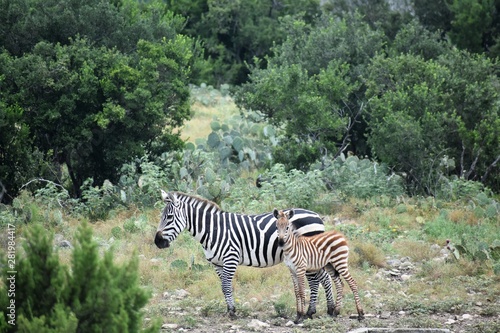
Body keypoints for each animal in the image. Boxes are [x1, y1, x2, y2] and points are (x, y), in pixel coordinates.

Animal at [155, 191, 336, 316]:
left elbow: (226, 286)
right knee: (320, 280)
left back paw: (321, 310)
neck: (213, 230)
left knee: (319, 280)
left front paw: (232, 312)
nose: (157, 242)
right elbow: (224, 287)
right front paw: (230, 309)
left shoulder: (230, 258)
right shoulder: (217, 263)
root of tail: (316, 215)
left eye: (169, 217)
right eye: (161, 216)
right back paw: (321, 310)